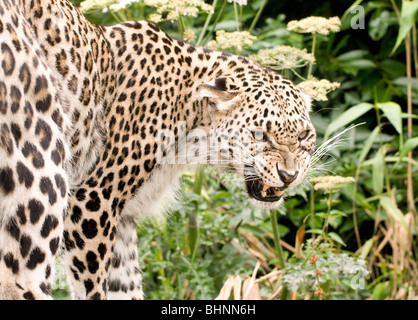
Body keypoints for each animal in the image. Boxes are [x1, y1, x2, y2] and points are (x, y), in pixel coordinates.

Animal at [0, 0, 314, 300]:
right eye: (261, 135)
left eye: (303, 136)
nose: (289, 175)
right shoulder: (92, 200)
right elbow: (92, 285)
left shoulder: (122, 217)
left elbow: (125, 284)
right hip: (45, 167)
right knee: (22, 279)